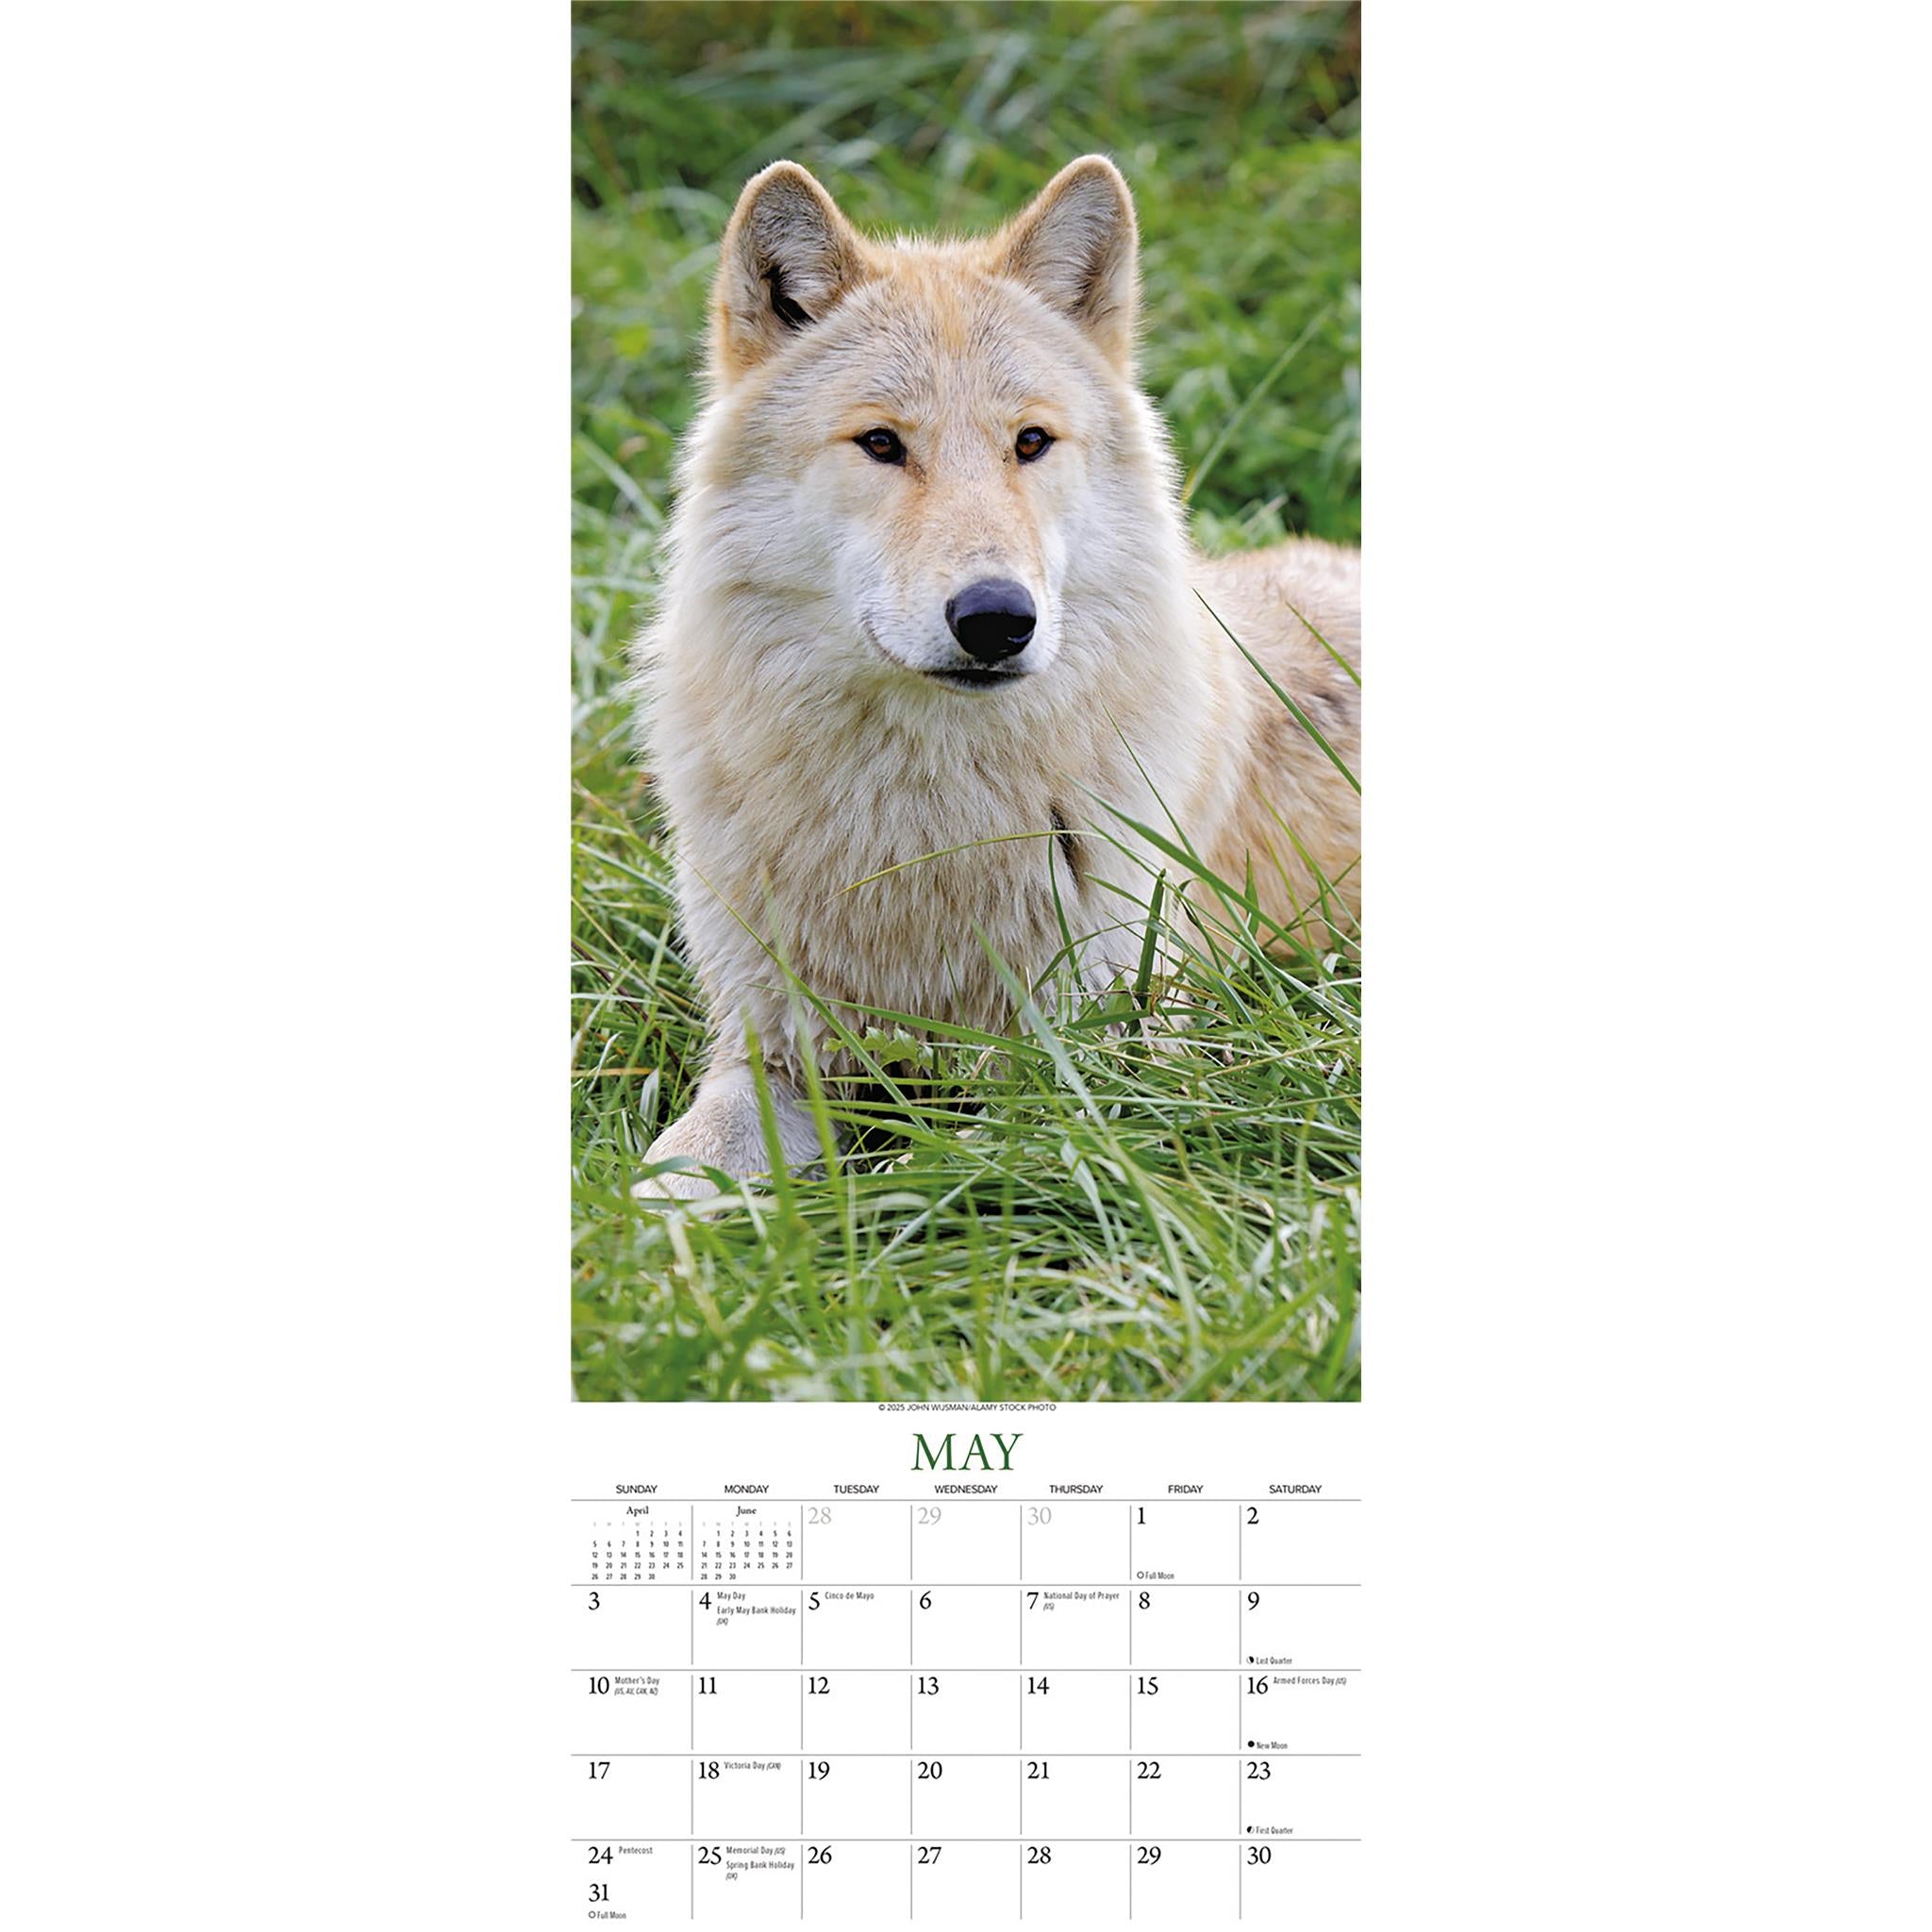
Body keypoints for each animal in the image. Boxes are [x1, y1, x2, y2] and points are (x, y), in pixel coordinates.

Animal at [632, 155, 1358, 1199]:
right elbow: (663, 1176)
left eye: (1030, 442)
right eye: (882, 444)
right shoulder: (765, 1052)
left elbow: (959, 1163)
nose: (995, 619)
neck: (921, 829)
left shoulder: (1110, 1063)